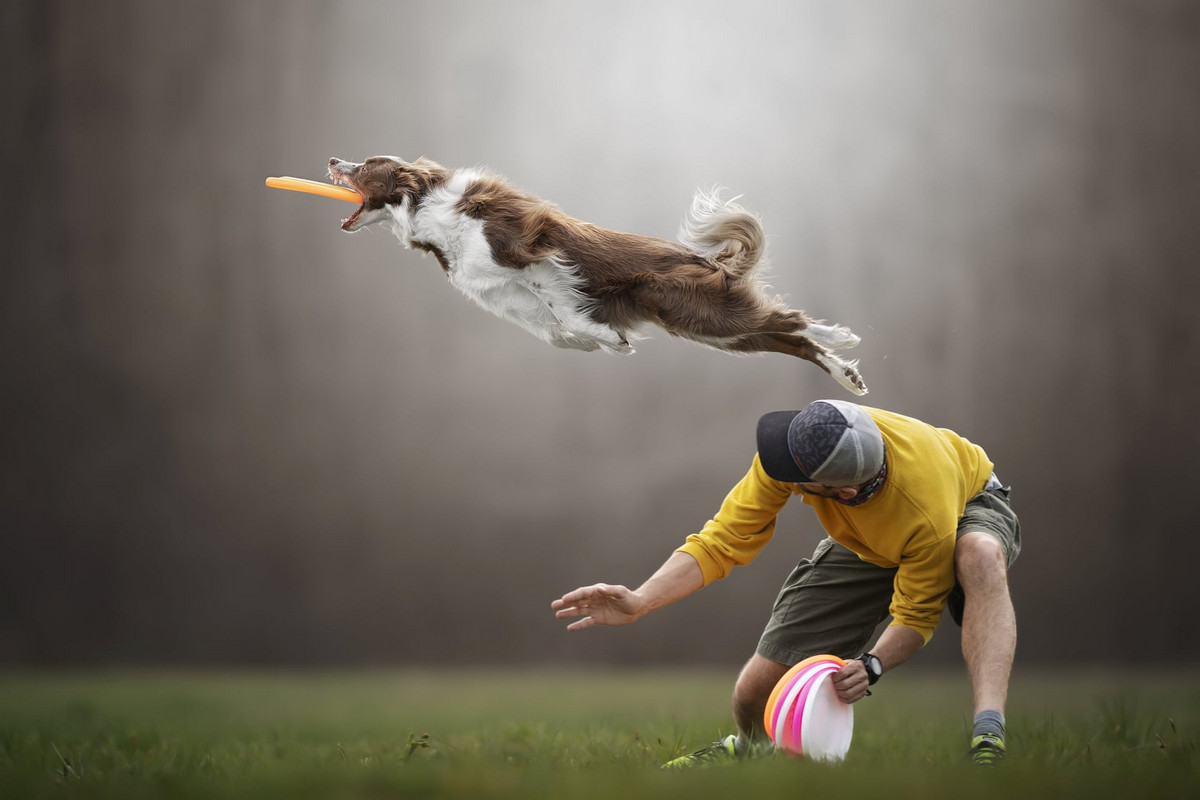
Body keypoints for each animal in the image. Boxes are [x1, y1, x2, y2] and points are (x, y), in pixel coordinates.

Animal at [328, 155, 868, 393]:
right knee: (786, 337)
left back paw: (841, 337)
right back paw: (846, 374)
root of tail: (708, 262)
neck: (428, 209)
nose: (333, 158)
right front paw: (603, 339)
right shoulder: (513, 298)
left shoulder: (531, 255)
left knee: (790, 321)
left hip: (697, 311)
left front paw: (608, 336)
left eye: (368, 165)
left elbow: (565, 310)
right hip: (709, 330)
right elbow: (560, 332)